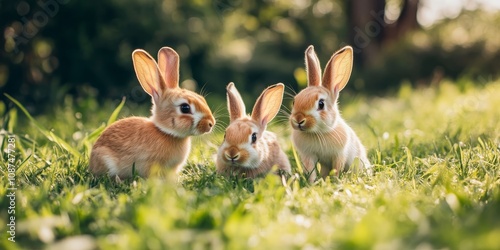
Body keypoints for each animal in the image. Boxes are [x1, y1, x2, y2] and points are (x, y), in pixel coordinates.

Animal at [290, 45, 372, 183]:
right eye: (294, 101)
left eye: (321, 104)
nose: (299, 119)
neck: (319, 132)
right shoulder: (308, 156)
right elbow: (311, 171)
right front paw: (312, 183)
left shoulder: (339, 155)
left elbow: (336, 169)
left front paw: (335, 181)